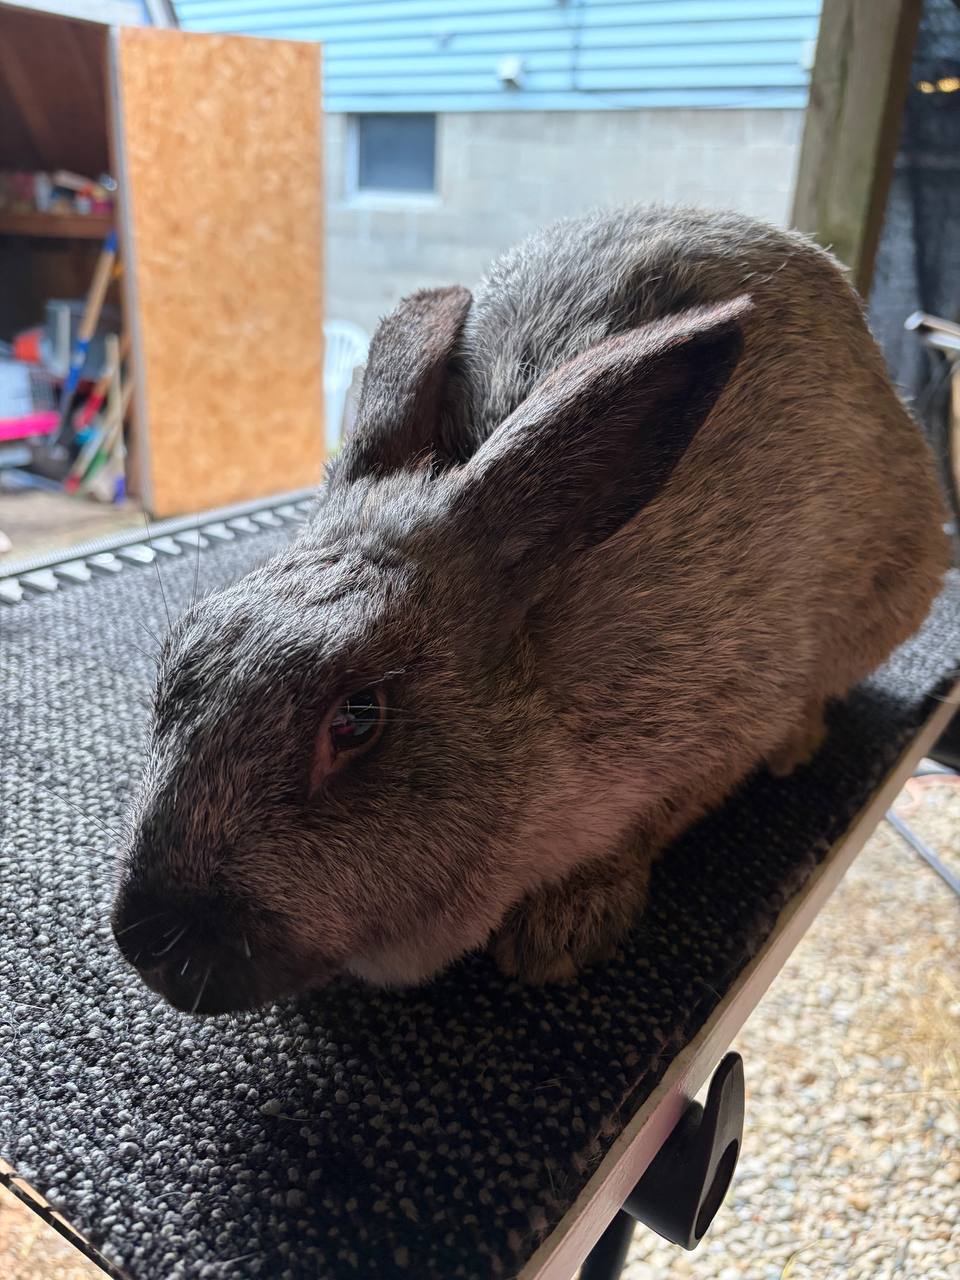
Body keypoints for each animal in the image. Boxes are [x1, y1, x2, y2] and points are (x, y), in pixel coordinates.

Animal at [111, 205, 950, 1014]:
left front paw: (561, 931)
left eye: (356, 717)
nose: (147, 940)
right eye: (177, 657)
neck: (539, 692)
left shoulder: (723, 725)